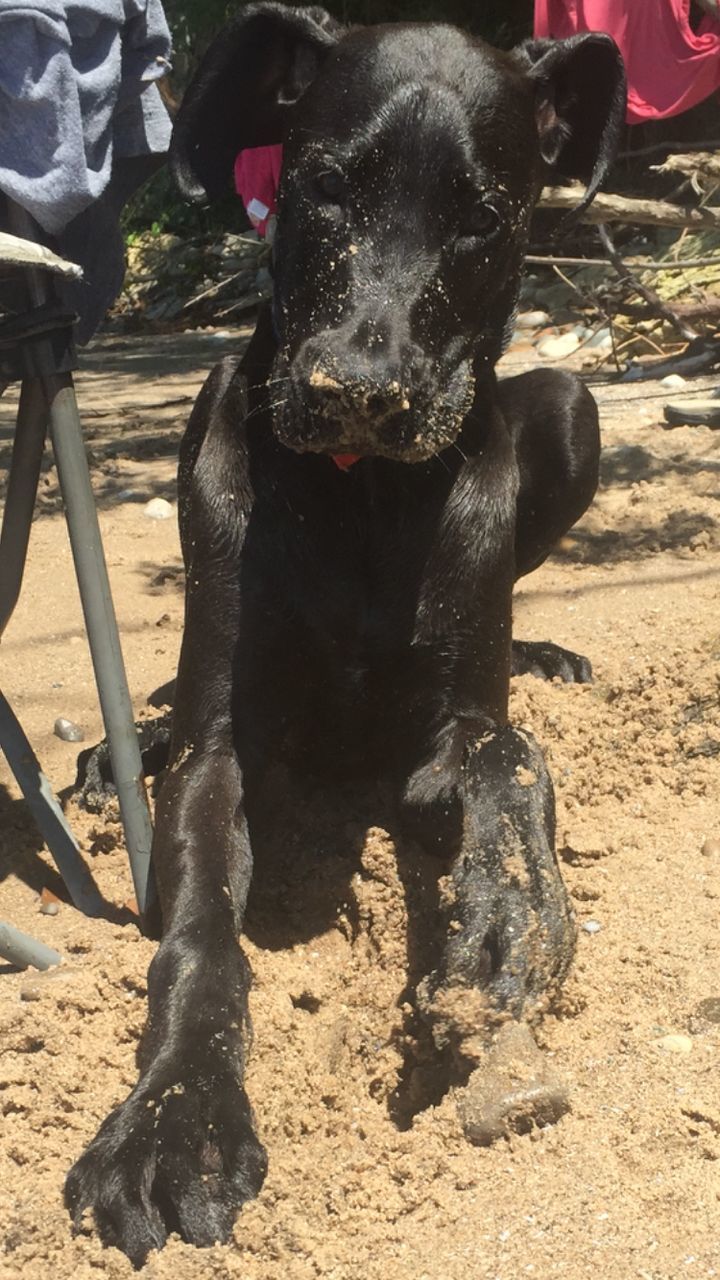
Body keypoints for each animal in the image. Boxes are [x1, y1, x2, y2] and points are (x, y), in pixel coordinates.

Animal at [64, 5, 622, 1264]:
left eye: (483, 217)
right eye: (320, 186)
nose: (360, 391)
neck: (362, 490)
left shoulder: (453, 726)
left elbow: (512, 757)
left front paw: (510, 913)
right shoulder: (222, 749)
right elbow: (202, 936)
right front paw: (177, 1115)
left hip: (573, 407)